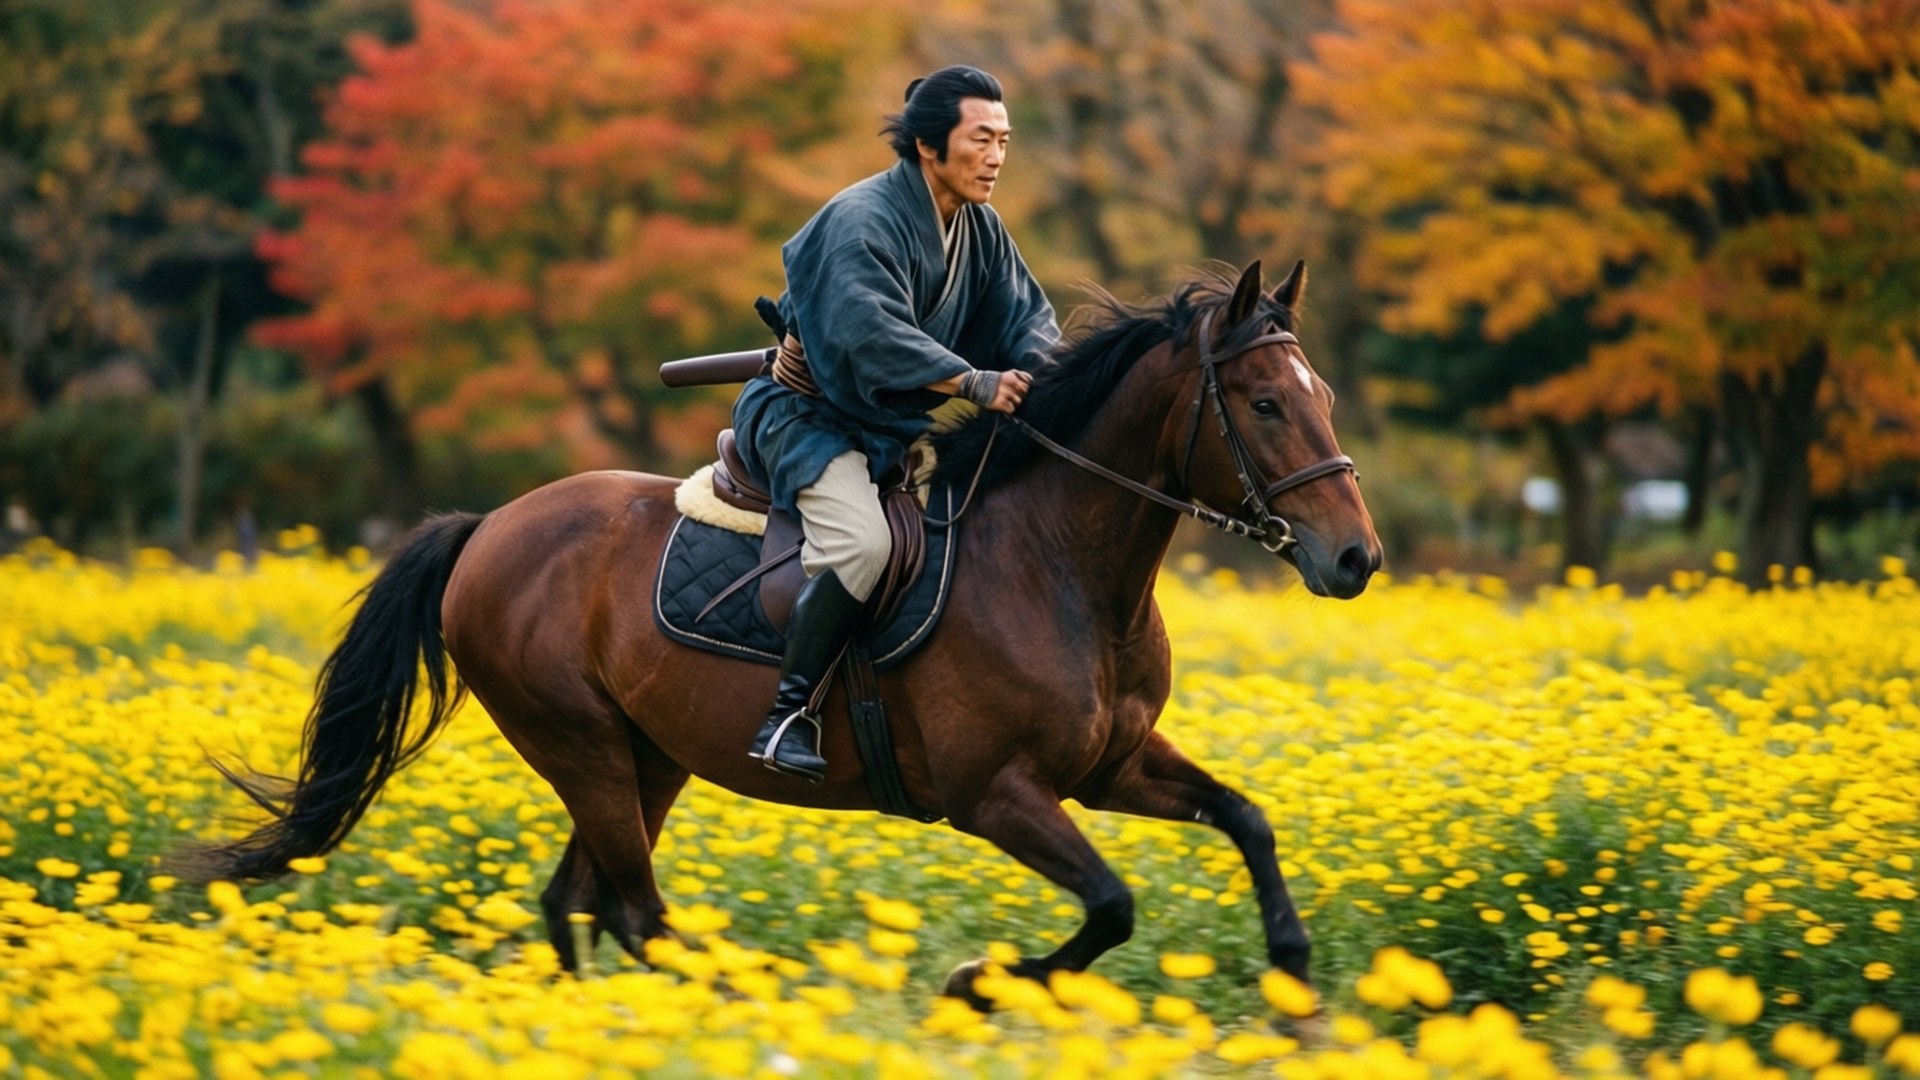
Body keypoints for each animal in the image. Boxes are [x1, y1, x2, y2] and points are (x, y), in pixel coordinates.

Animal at [182, 259, 1381, 1004]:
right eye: (1265, 404)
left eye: (1323, 392)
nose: (1355, 560)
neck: (1062, 567)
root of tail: (489, 529)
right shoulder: (997, 795)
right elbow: (1114, 906)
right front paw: (974, 986)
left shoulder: (1112, 766)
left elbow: (1248, 820)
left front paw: (1292, 970)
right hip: (581, 747)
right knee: (639, 913)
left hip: (643, 757)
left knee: (582, 905)